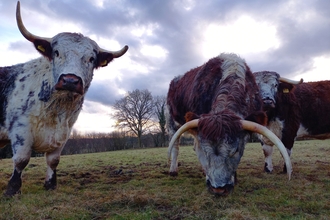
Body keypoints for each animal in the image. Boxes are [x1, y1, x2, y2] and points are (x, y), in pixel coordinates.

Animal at [0, 0, 128, 195]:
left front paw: (50, 184)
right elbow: (22, 159)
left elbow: (53, 160)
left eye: (91, 58)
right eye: (57, 52)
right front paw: (12, 190)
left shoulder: (64, 133)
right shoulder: (20, 129)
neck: (55, 109)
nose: (70, 80)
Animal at [165, 53, 292, 196]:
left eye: (235, 150)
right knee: (175, 146)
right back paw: (173, 170)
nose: (219, 189)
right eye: (204, 151)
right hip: (171, 122)